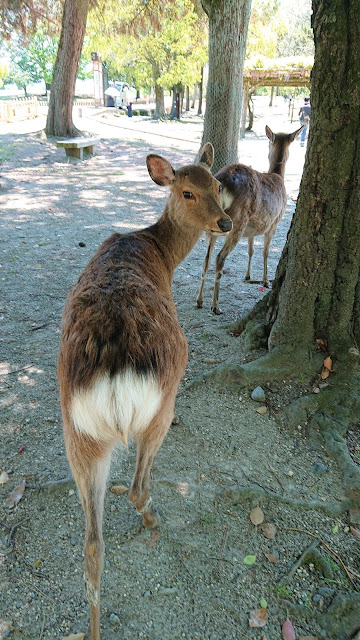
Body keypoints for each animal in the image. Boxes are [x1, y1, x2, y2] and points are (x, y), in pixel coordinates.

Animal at [56, 145, 231, 640]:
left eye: (218, 185)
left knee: (91, 546)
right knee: (137, 486)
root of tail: (115, 378)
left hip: (78, 434)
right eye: (187, 191)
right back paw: (154, 517)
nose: (226, 222)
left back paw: (92, 630)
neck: (159, 251)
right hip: (160, 405)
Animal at [195, 124, 302, 314]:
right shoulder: (274, 223)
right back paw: (216, 305)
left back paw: (199, 301)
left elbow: (251, 250)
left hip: (213, 225)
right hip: (237, 221)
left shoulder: (253, 230)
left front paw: (248, 275)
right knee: (219, 257)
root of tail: (222, 181)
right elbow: (266, 252)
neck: (279, 177)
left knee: (206, 259)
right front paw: (266, 281)